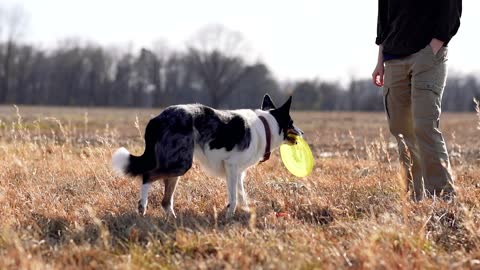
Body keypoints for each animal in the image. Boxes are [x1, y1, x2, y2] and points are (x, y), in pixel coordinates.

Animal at [110, 94, 302, 218]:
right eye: (292, 123)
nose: (302, 133)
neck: (265, 127)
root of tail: (157, 118)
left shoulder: (238, 172)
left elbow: (241, 195)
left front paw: (246, 212)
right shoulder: (231, 167)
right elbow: (234, 197)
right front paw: (229, 216)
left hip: (176, 165)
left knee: (165, 200)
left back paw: (172, 219)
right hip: (181, 164)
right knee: (148, 175)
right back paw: (142, 206)